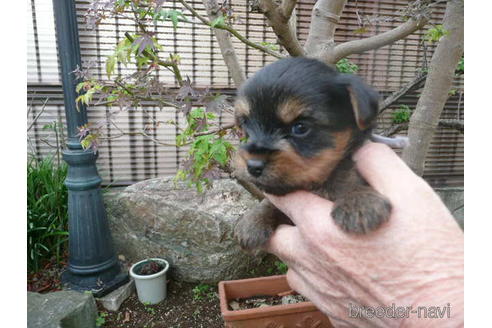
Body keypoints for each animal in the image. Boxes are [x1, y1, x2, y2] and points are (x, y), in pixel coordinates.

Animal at [234, 57, 392, 251]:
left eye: (300, 128)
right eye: (245, 124)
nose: (253, 166)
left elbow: (349, 175)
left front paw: (359, 199)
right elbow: (269, 203)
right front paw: (253, 219)